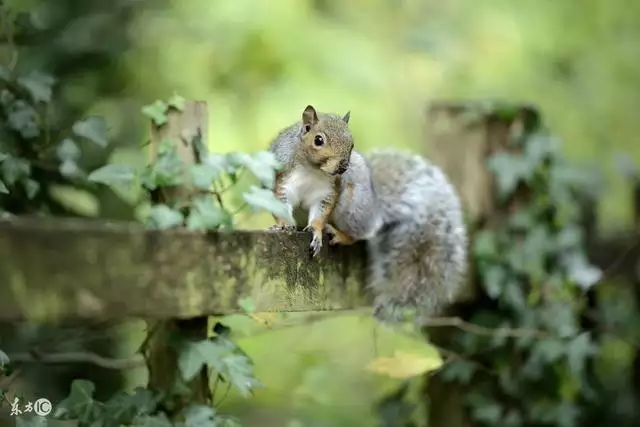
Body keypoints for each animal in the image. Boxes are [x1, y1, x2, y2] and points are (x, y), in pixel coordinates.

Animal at [268, 105, 468, 322]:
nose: (343, 167)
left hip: (352, 209)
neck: (312, 169)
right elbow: (280, 202)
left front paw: (316, 231)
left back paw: (340, 234)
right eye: (318, 140)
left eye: (352, 143)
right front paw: (282, 225)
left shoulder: (328, 191)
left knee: (363, 232)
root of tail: (376, 208)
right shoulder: (283, 177)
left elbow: (320, 214)